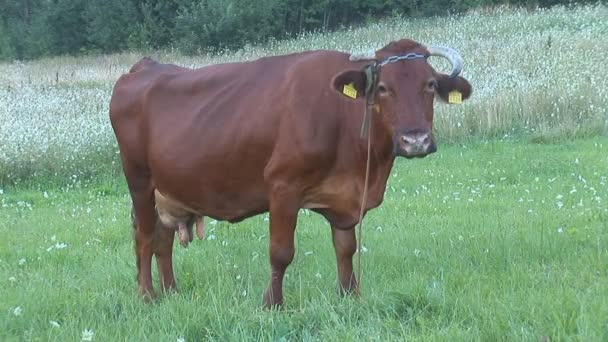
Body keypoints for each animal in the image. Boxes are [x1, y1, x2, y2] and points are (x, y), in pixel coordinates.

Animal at [108, 38, 470, 306]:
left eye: (430, 84)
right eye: (383, 87)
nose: (415, 140)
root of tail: (145, 66)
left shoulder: (344, 197)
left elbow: (345, 248)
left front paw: (349, 296)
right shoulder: (283, 186)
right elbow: (281, 253)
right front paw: (272, 304)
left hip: (169, 189)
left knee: (162, 239)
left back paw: (172, 292)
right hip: (139, 180)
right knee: (144, 237)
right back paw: (147, 296)